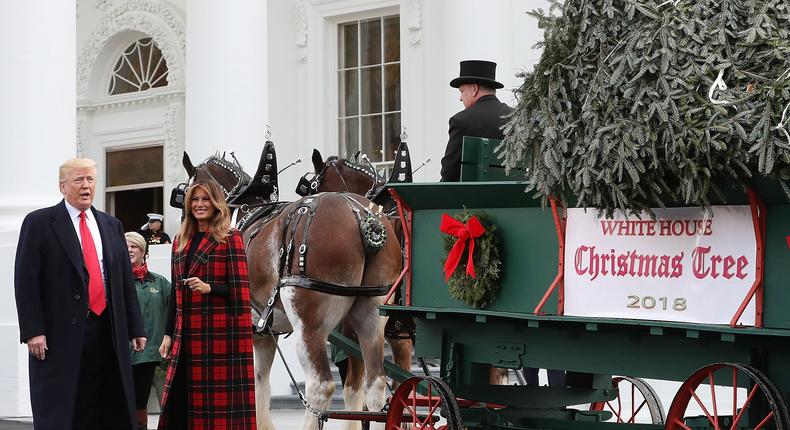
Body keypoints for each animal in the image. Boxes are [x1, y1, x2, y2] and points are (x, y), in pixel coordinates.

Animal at [184, 153, 402, 428]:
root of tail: (364, 219)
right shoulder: (264, 333)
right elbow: (260, 383)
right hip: (372, 315)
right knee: (375, 385)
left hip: (309, 326)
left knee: (321, 386)